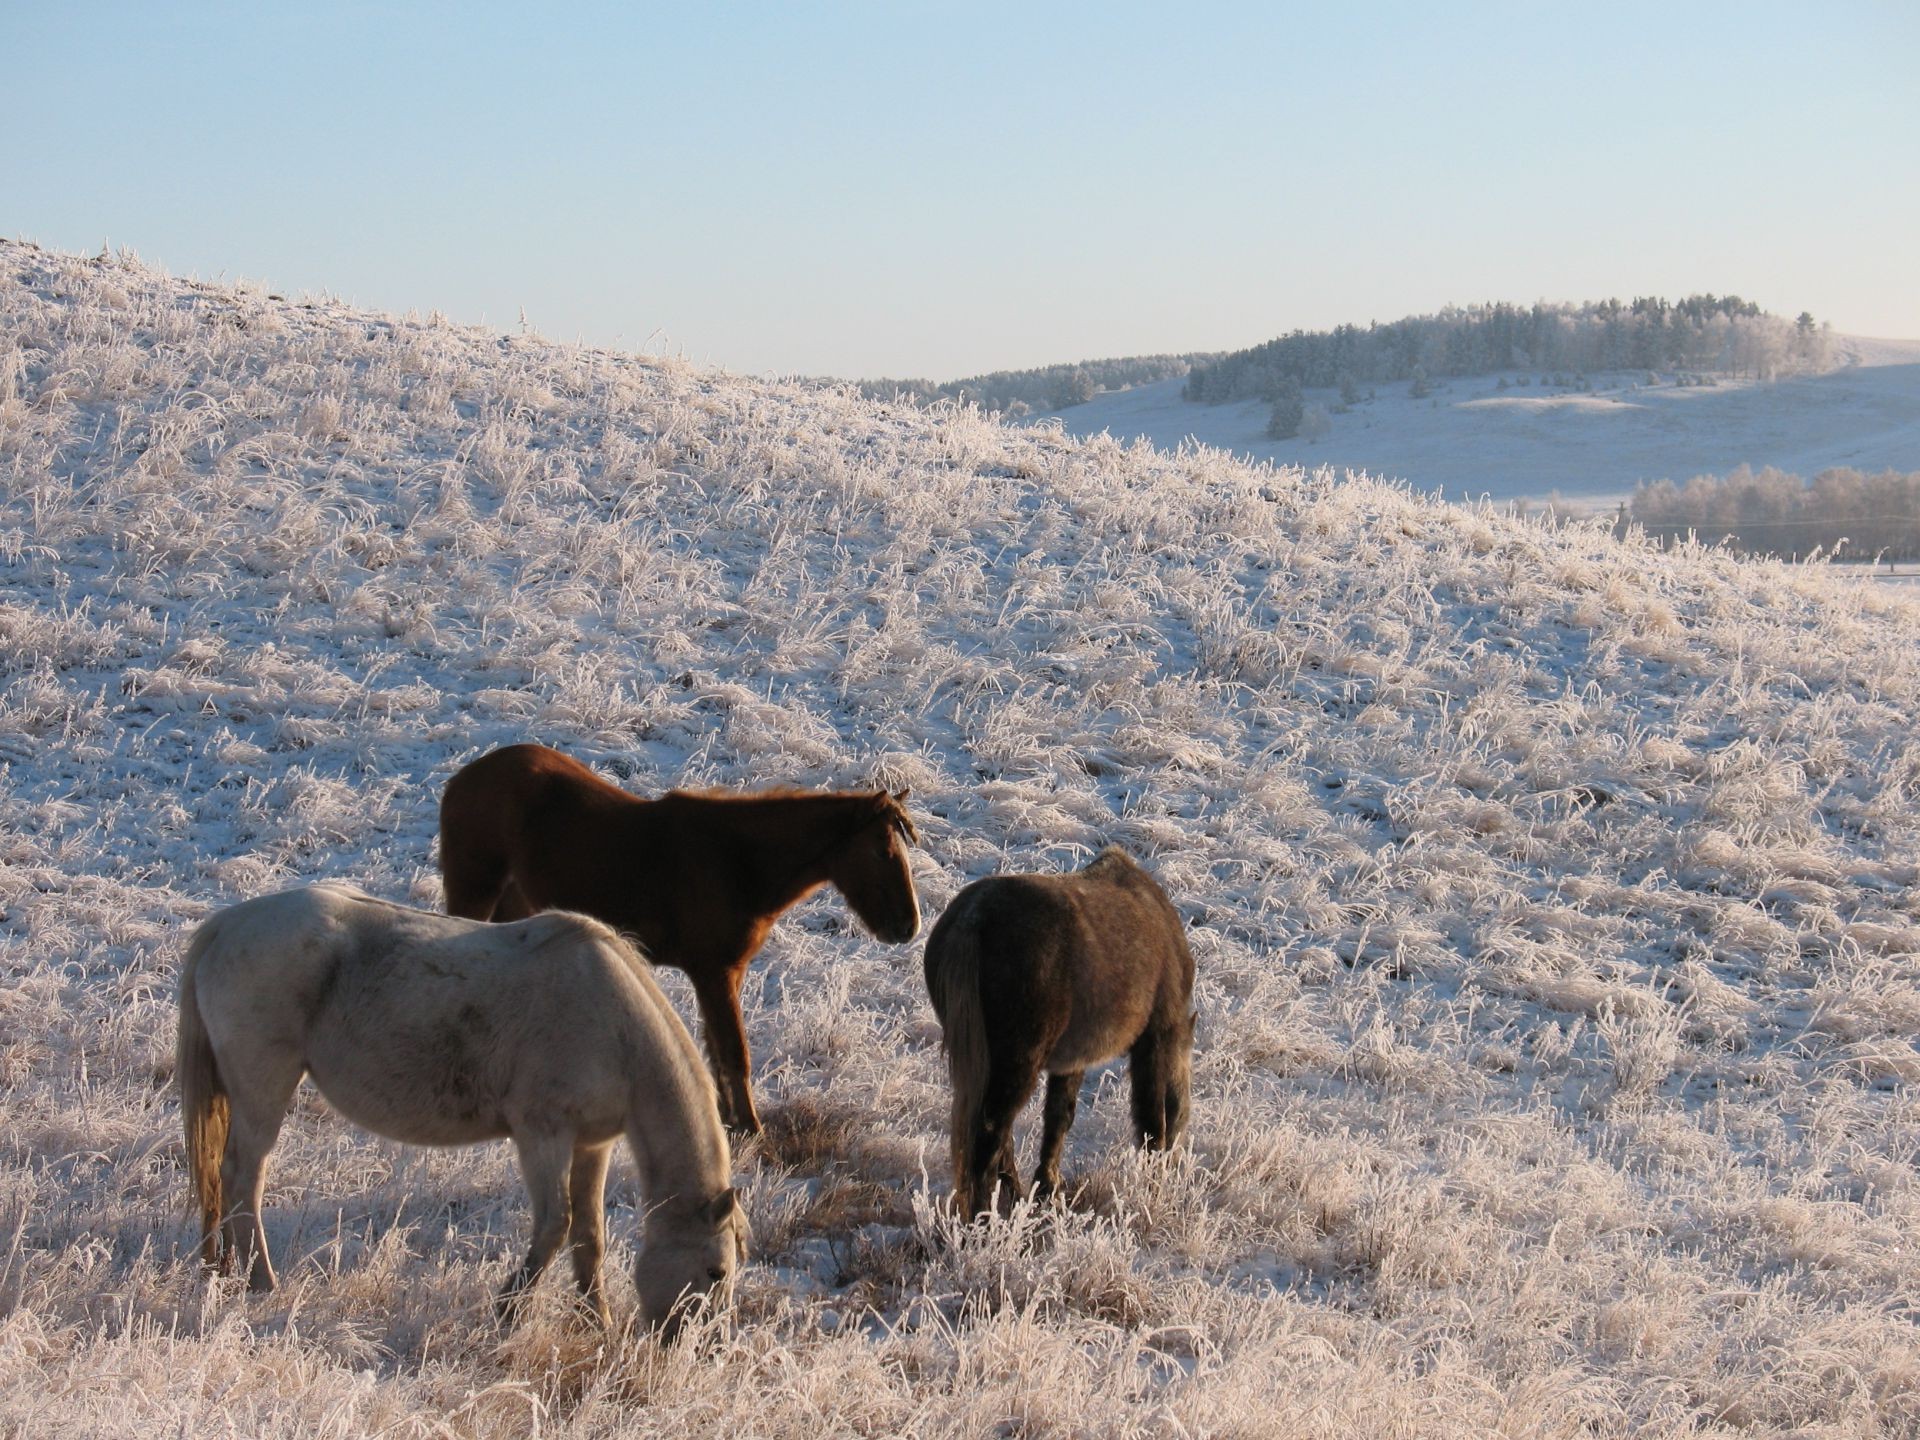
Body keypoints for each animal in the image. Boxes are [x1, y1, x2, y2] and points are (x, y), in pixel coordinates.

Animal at [174, 887, 741, 1336]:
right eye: (716, 1272)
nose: (692, 1347)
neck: (615, 1028)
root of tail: (227, 924)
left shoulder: (591, 1144)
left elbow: (589, 1236)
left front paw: (594, 1322)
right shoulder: (543, 1136)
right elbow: (555, 1225)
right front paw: (508, 1311)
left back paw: (226, 1271)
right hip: (263, 1089)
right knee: (243, 1178)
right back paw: (261, 1283)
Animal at [441, 744, 921, 1136]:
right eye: (882, 851)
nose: (908, 926)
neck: (738, 863)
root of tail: (464, 778)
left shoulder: (727, 973)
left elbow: (716, 1047)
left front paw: (729, 1121)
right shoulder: (713, 972)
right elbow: (733, 1051)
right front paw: (750, 1128)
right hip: (474, 892)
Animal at [917, 852, 1198, 1221]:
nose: (1178, 1167)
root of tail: (973, 917)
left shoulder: (1071, 1060)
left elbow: (1058, 1118)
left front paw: (1047, 1188)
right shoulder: (1153, 1041)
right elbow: (1151, 1120)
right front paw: (1152, 1186)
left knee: (997, 1134)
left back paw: (1014, 1199)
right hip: (1017, 1062)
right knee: (990, 1135)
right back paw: (984, 1218)